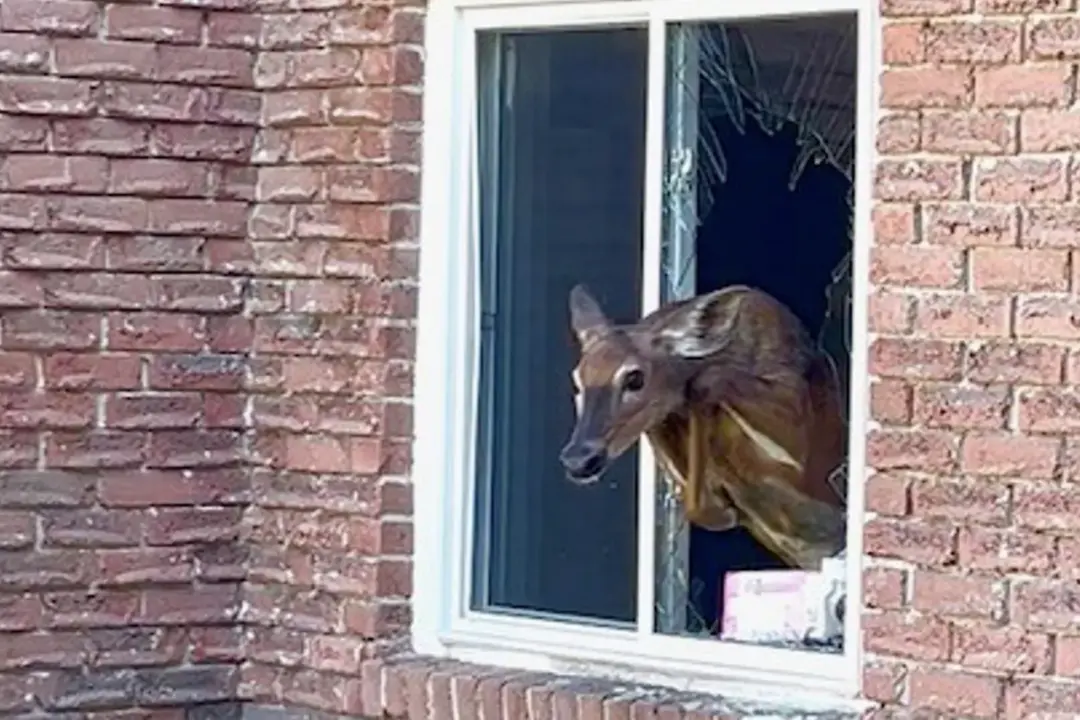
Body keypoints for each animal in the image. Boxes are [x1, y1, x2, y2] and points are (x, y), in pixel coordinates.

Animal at [559, 283, 848, 572]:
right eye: (577, 380)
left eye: (635, 378)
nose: (578, 460)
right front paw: (721, 511)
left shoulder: (801, 433)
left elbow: (707, 382)